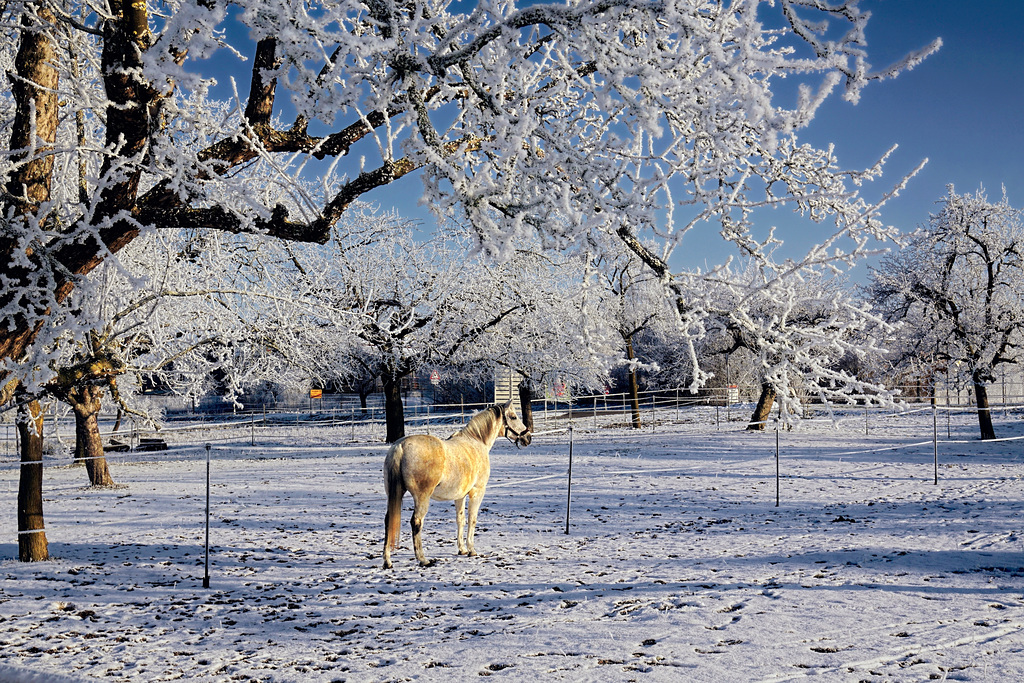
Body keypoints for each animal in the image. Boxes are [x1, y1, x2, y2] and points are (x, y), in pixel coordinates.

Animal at [380, 401, 532, 573]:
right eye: (513, 417)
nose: (528, 437)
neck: (476, 442)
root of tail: (401, 446)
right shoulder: (477, 492)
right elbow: (472, 519)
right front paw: (471, 550)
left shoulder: (460, 495)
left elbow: (461, 520)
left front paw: (462, 549)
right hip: (422, 498)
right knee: (416, 522)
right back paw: (423, 559)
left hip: (395, 494)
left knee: (389, 521)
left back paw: (387, 561)